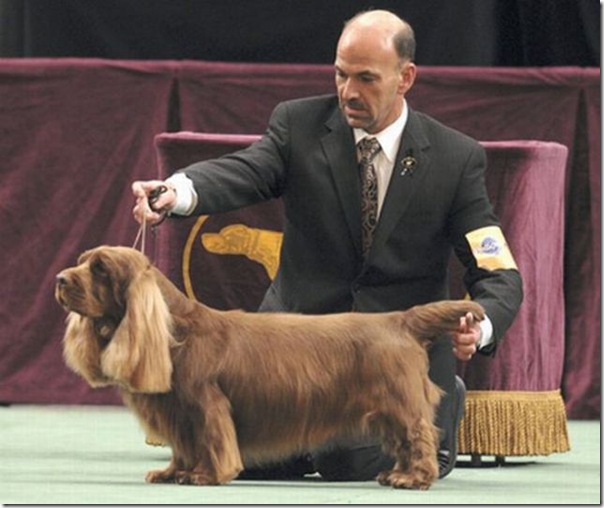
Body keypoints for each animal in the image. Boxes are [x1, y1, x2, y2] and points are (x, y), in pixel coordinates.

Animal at [54, 244, 484, 490]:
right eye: (80, 262)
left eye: (100, 268)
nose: (58, 278)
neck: (176, 330)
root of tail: (399, 319)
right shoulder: (178, 411)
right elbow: (183, 445)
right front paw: (172, 472)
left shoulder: (205, 403)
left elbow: (212, 439)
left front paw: (206, 475)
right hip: (387, 409)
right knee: (404, 441)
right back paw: (396, 474)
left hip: (400, 401)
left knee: (420, 436)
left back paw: (414, 478)